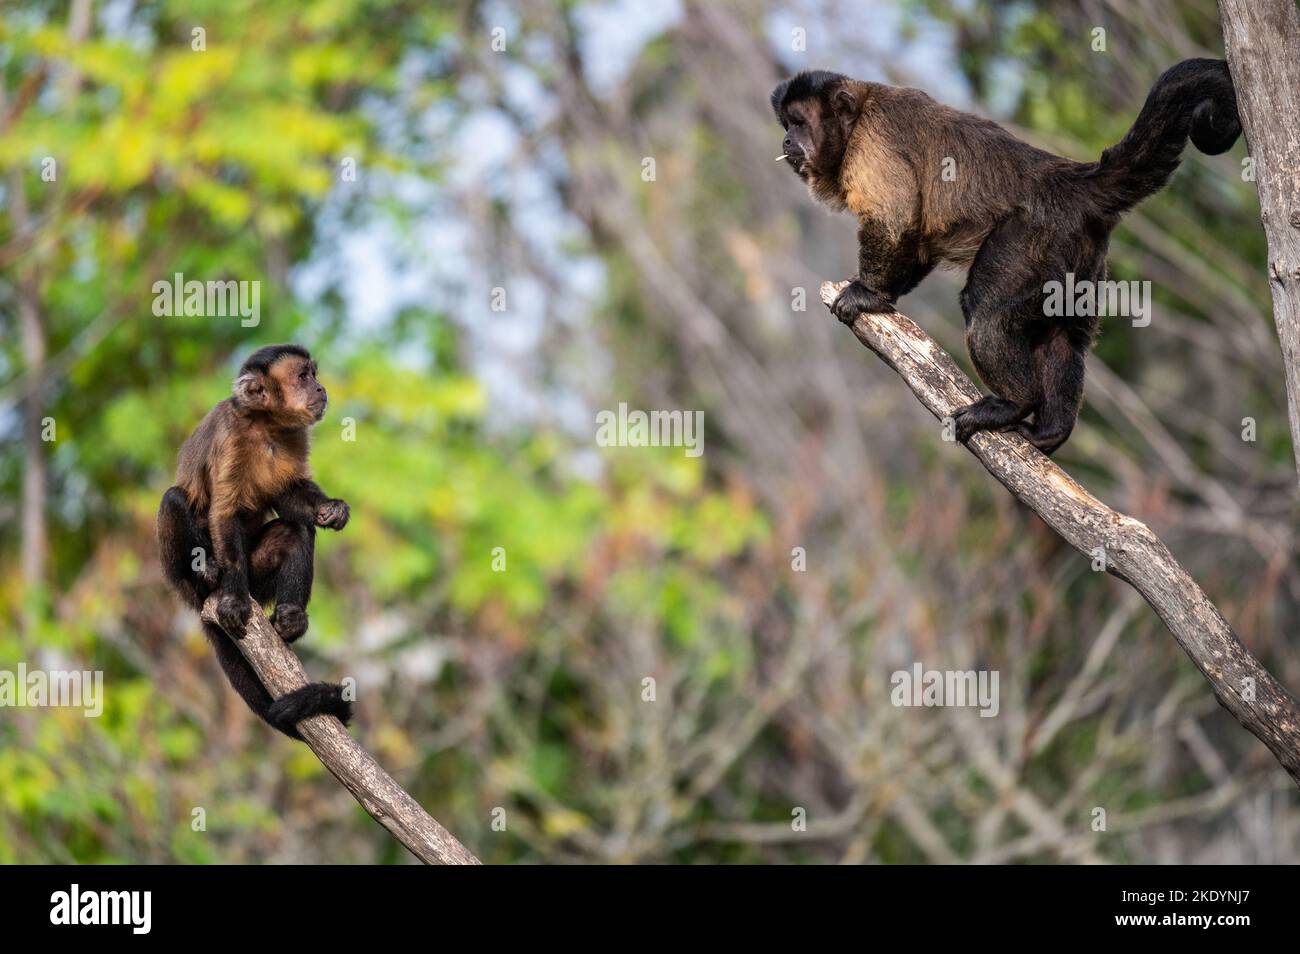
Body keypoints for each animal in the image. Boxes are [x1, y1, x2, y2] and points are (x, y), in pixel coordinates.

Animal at [156, 343, 351, 738]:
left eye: (314, 374)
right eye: (304, 376)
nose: (320, 388)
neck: (265, 425)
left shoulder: (294, 436)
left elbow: (290, 498)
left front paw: (331, 509)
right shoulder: (231, 434)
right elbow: (224, 513)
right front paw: (231, 599)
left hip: (258, 584)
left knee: (295, 530)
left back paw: (291, 620)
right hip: (188, 578)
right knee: (174, 499)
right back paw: (208, 576)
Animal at [769, 59, 1237, 454]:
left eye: (799, 123)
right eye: (787, 125)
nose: (787, 139)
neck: (860, 112)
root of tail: (1069, 180)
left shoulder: (873, 141)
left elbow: (897, 219)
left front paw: (867, 293)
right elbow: (917, 239)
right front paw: (885, 296)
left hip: (1034, 237)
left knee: (987, 313)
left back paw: (1012, 403)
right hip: (1081, 255)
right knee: (1063, 335)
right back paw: (1051, 429)